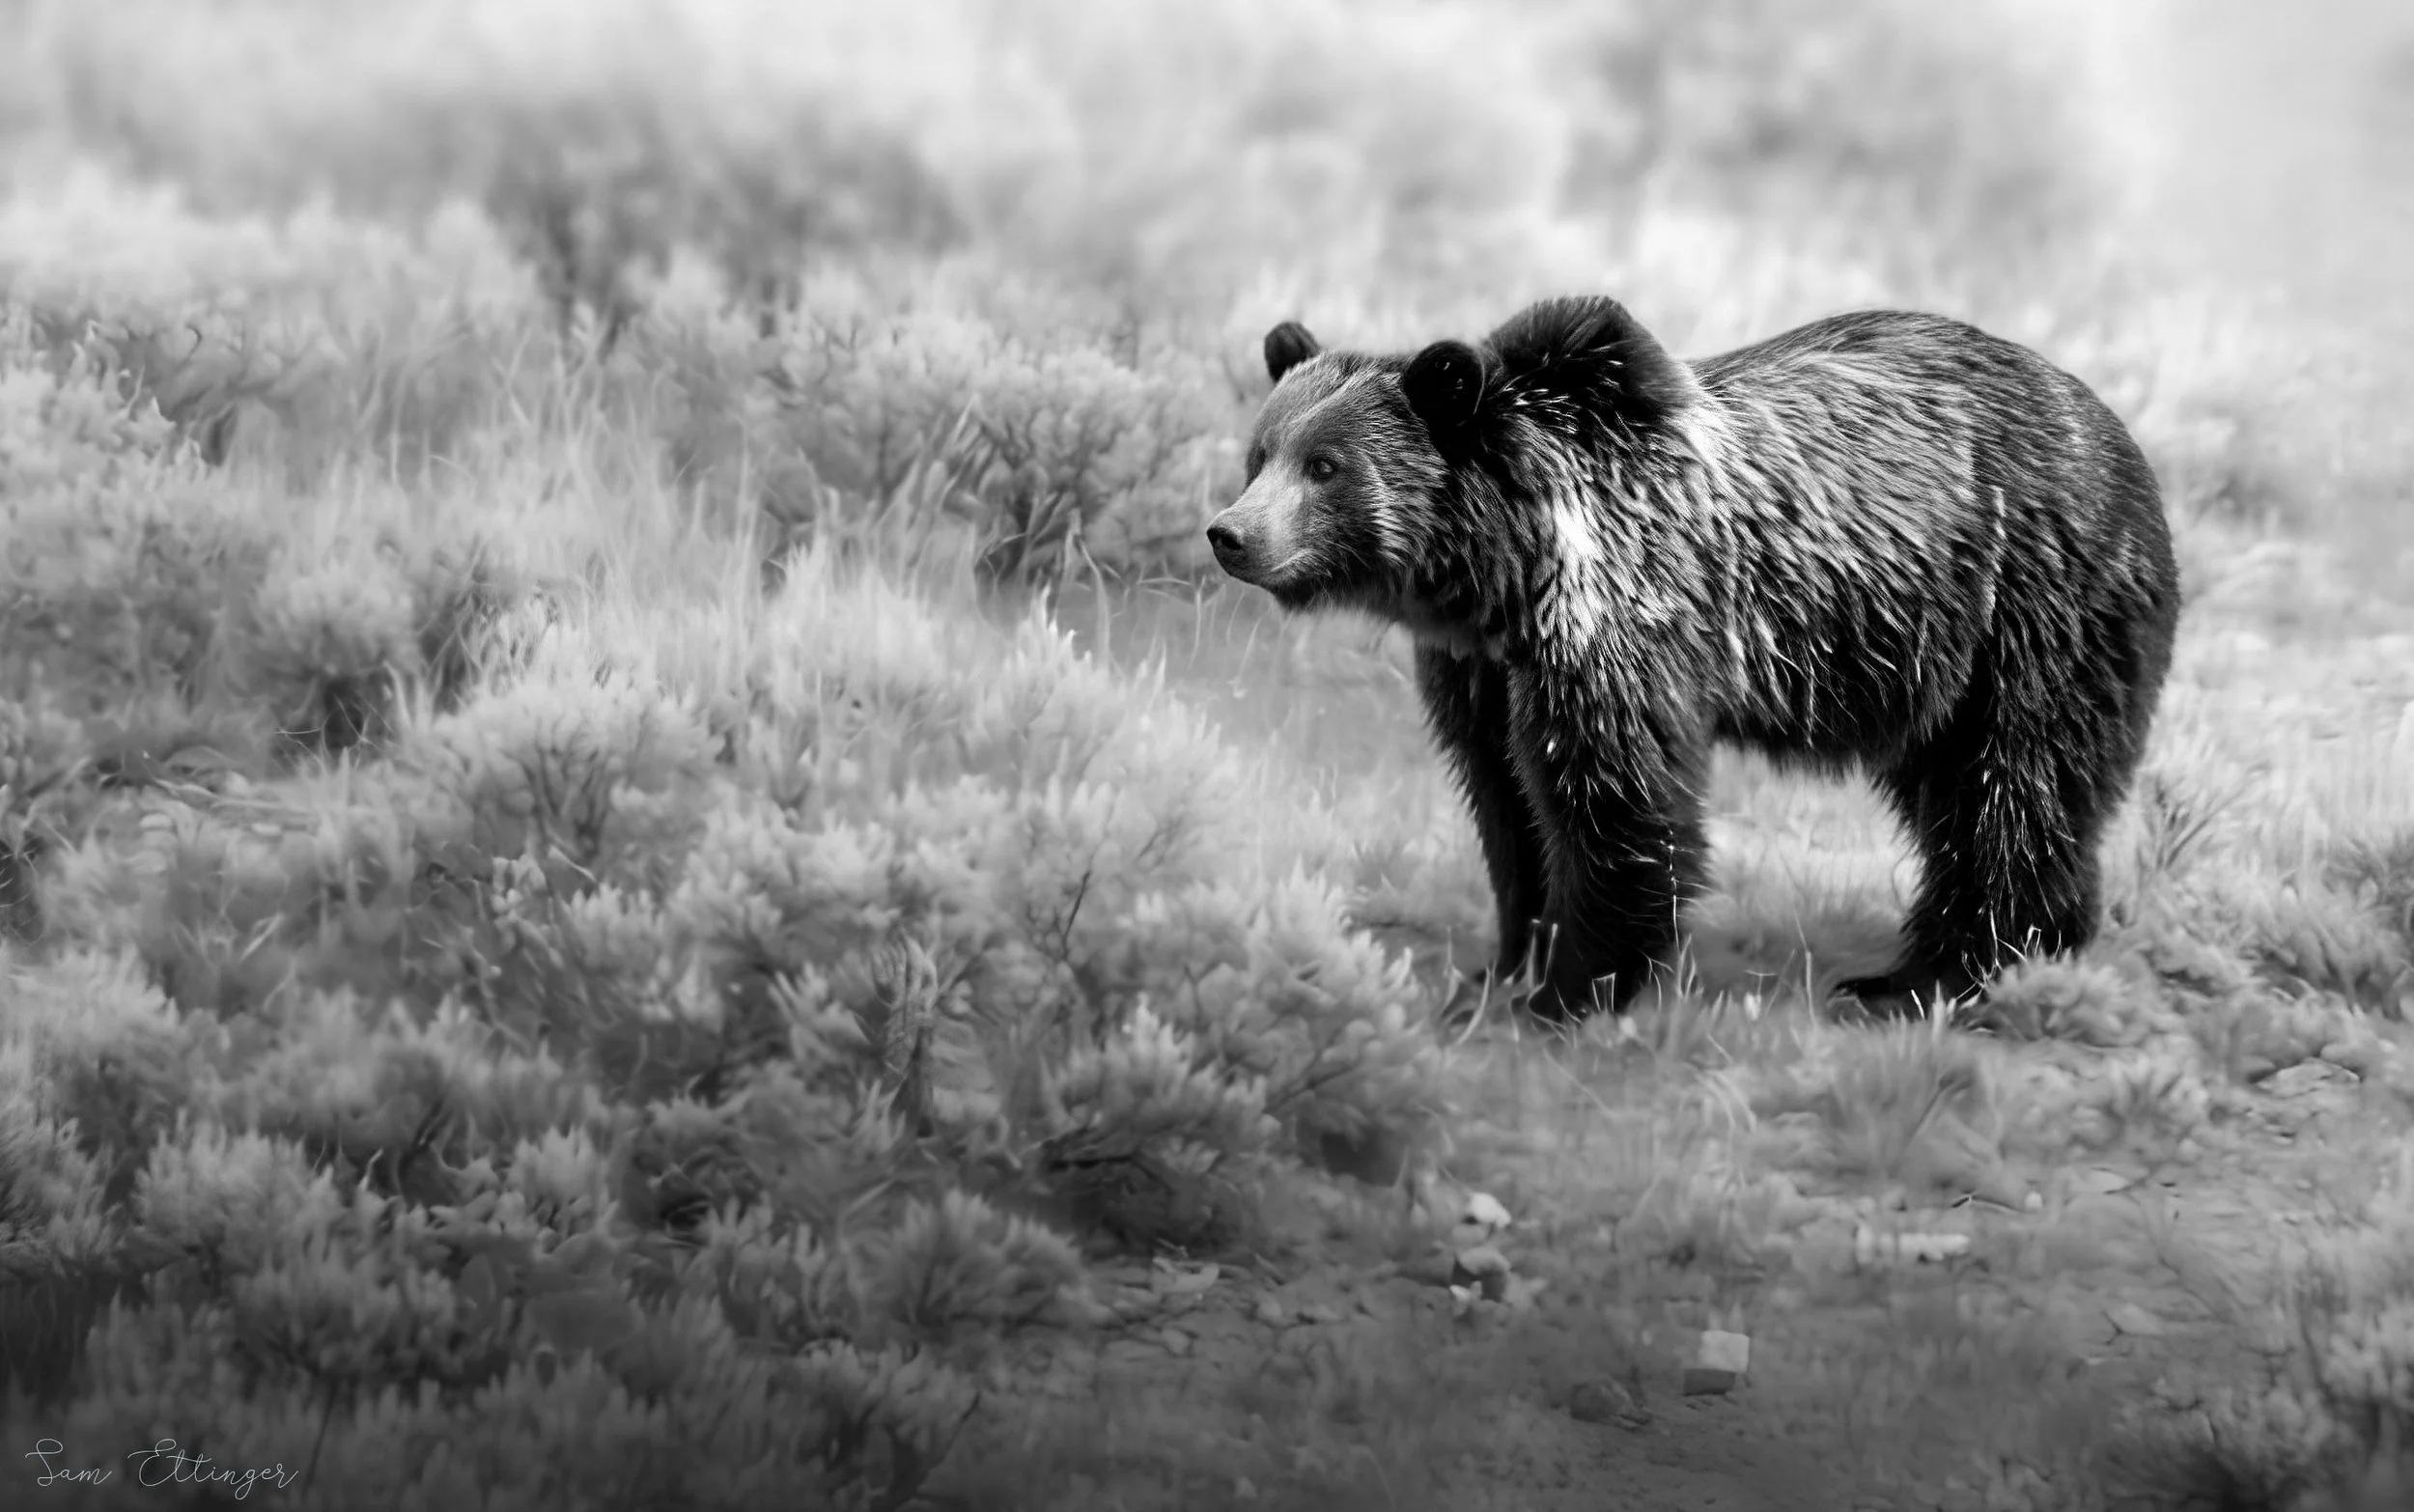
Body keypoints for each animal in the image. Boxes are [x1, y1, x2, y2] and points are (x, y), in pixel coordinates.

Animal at [1205, 297, 2182, 1022]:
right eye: (1261, 452)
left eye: (1326, 465)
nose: (1230, 535)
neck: (1504, 574)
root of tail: (2124, 441)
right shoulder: (1481, 669)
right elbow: (1506, 803)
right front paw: (1503, 967)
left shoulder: (1613, 624)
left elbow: (1611, 799)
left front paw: (1570, 991)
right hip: (1937, 667)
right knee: (1963, 793)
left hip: (2026, 605)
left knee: (2012, 786)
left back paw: (1945, 975)